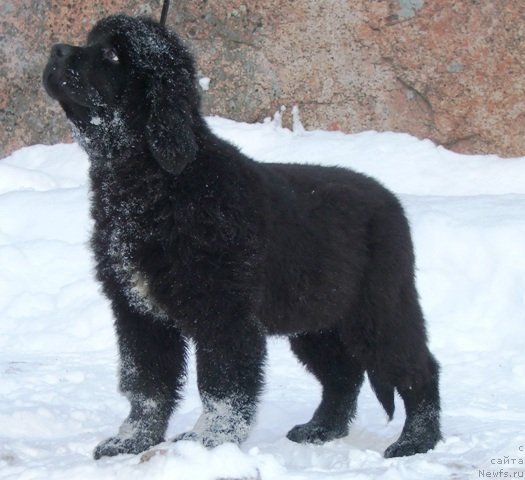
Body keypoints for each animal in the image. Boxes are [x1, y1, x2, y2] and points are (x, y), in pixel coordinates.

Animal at [43, 14, 440, 458]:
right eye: (90, 41)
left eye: (112, 54)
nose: (56, 50)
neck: (156, 183)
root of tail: (389, 199)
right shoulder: (137, 311)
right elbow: (146, 382)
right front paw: (133, 440)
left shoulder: (224, 312)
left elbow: (222, 384)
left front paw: (208, 440)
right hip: (314, 320)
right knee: (342, 374)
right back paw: (320, 429)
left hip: (379, 308)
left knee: (416, 368)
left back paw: (415, 441)